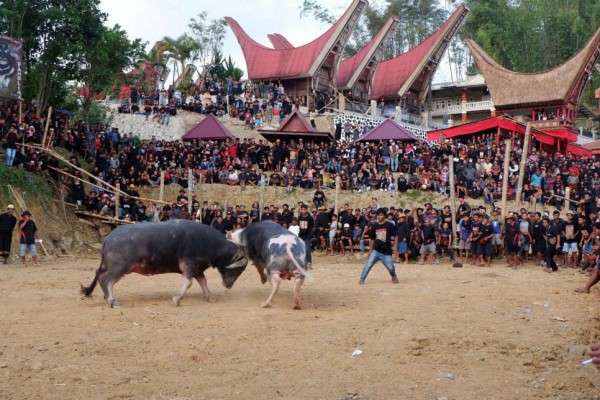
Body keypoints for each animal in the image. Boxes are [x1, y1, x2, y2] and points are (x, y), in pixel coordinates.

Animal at [81, 220, 247, 308]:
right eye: (238, 269)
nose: (228, 285)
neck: (208, 243)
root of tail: (109, 238)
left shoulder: (197, 269)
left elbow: (203, 282)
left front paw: (210, 297)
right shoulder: (189, 265)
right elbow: (188, 283)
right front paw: (177, 299)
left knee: (99, 275)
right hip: (119, 267)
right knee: (105, 279)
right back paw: (111, 301)